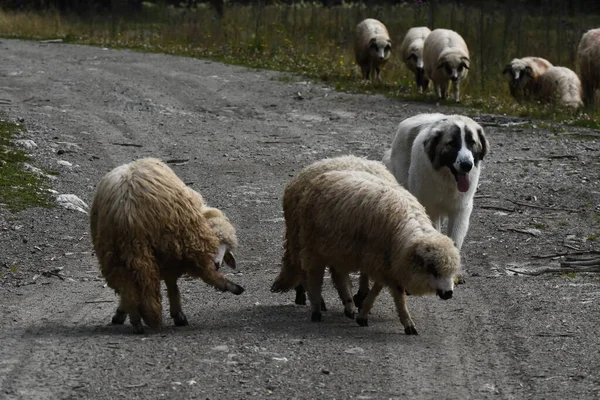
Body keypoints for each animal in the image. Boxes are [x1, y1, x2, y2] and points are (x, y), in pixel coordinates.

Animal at [89, 158, 244, 332]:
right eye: (218, 242)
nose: (217, 264)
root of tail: (128, 212)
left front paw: (121, 312)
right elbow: (173, 283)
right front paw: (177, 314)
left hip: (112, 251)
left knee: (126, 284)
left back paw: (136, 321)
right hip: (176, 238)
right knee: (202, 273)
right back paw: (232, 287)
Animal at [282, 169, 460, 334]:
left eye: (451, 272)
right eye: (433, 270)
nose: (449, 293)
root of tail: (323, 175)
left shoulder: (386, 263)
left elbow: (377, 290)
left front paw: (363, 314)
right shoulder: (379, 261)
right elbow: (397, 295)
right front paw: (407, 323)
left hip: (338, 250)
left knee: (339, 275)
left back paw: (349, 306)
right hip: (312, 245)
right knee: (313, 277)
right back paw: (317, 309)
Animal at [382, 112, 490, 250]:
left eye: (472, 142)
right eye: (452, 143)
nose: (467, 165)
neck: (447, 180)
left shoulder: (460, 210)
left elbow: (455, 239)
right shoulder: (430, 208)